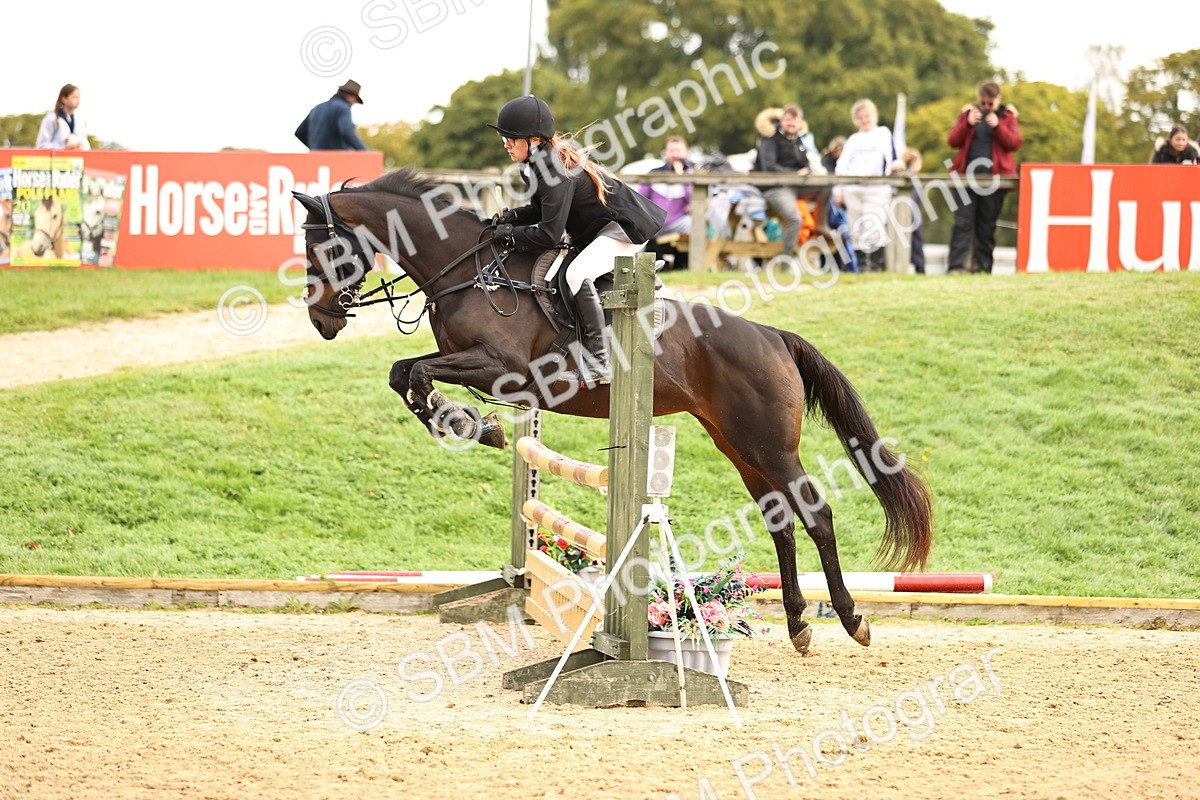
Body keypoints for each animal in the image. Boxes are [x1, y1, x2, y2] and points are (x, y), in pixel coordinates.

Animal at [294, 167, 932, 655]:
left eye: (323, 247)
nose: (321, 321)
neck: (469, 272)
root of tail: (772, 335)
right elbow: (404, 373)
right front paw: (469, 424)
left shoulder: (500, 366)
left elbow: (417, 373)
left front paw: (472, 426)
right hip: (739, 445)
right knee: (780, 520)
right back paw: (799, 623)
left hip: (769, 445)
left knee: (815, 514)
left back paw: (850, 619)